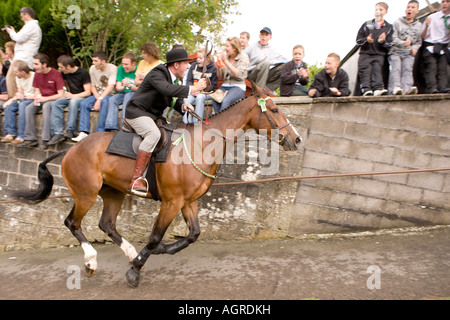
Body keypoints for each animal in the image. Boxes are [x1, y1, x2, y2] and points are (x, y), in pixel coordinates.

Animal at [11, 83, 302, 288]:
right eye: (274, 110)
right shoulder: (172, 202)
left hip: (113, 193)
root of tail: (71, 149)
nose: (296, 139)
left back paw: (129, 252)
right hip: (86, 194)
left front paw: (155, 253)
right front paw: (136, 269)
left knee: (107, 225)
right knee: (72, 223)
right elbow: (154, 237)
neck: (200, 145)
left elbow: (193, 235)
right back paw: (92, 260)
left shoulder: (188, 201)